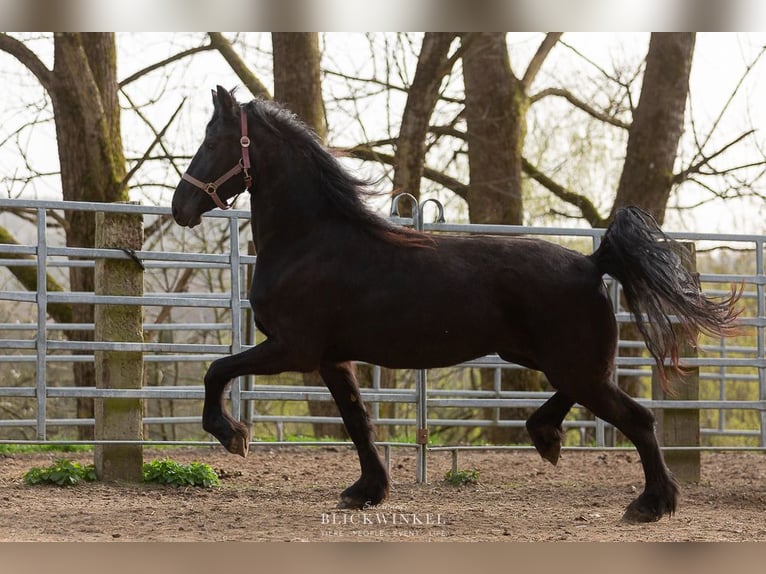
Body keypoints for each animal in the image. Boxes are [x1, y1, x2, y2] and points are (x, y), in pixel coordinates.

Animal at [171, 86, 740, 528]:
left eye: (212, 141)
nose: (181, 208)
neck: (310, 242)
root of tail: (591, 261)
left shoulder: (293, 348)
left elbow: (217, 369)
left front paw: (232, 435)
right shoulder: (333, 358)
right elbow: (358, 420)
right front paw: (366, 491)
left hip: (570, 365)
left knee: (638, 419)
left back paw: (650, 504)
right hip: (548, 360)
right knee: (581, 402)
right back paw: (547, 437)